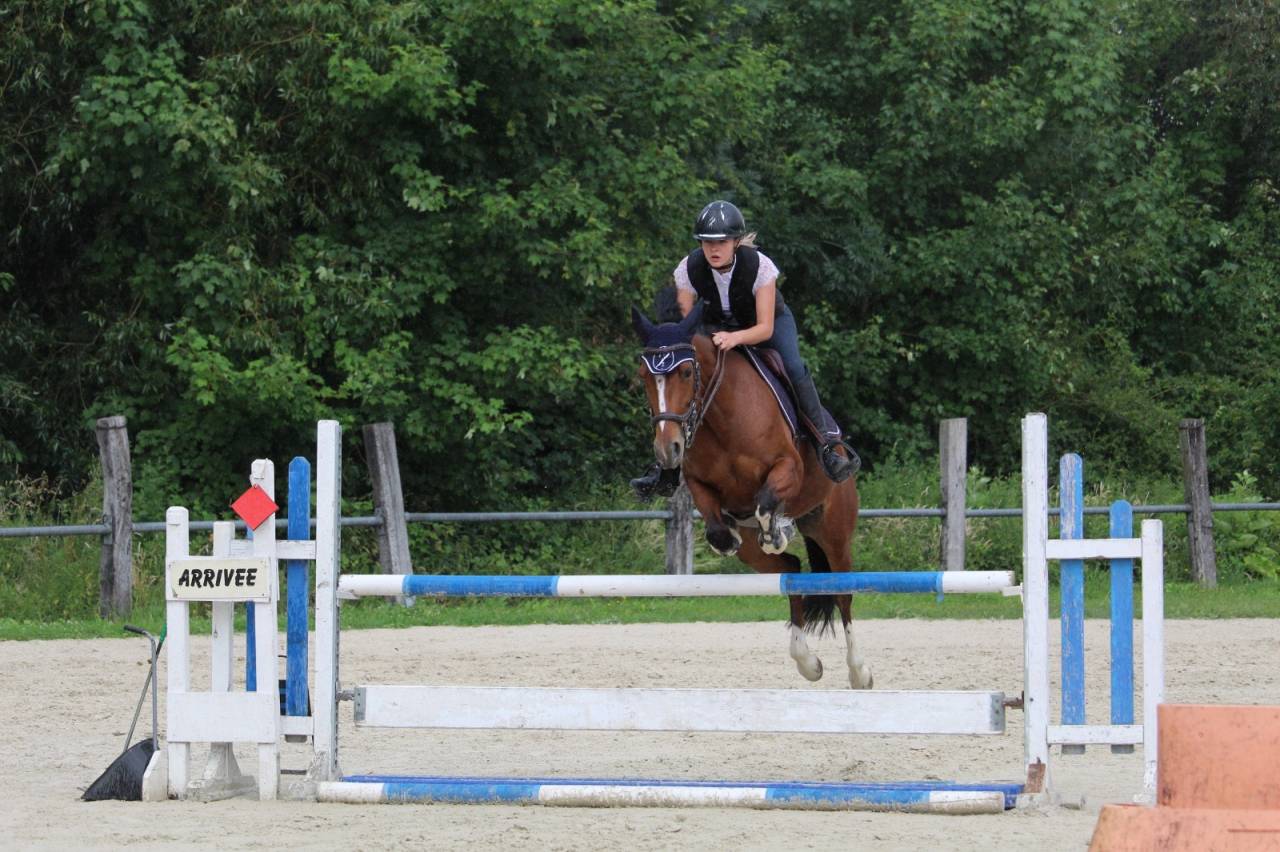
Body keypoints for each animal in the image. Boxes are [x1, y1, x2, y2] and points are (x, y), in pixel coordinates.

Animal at [631, 302, 871, 689]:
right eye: (644, 376)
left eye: (686, 372)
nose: (668, 450)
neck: (720, 415)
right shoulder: (698, 484)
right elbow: (718, 526)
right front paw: (728, 537)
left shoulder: (787, 468)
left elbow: (767, 500)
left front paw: (776, 532)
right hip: (759, 555)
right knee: (791, 571)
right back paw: (807, 662)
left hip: (833, 529)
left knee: (841, 591)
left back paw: (859, 671)